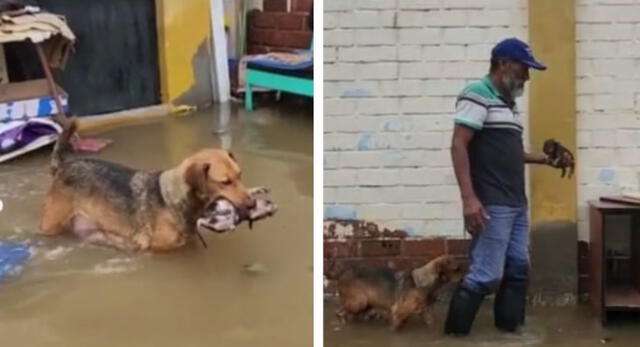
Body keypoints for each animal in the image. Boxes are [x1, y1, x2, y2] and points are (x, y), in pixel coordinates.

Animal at [332, 256, 462, 332]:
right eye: (457, 269)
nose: (463, 278)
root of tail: (342, 273)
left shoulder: (426, 313)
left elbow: (430, 322)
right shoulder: (398, 313)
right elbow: (394, 327)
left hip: (364, 305)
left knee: (349, 314)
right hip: (359, 302)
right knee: (339, 312)